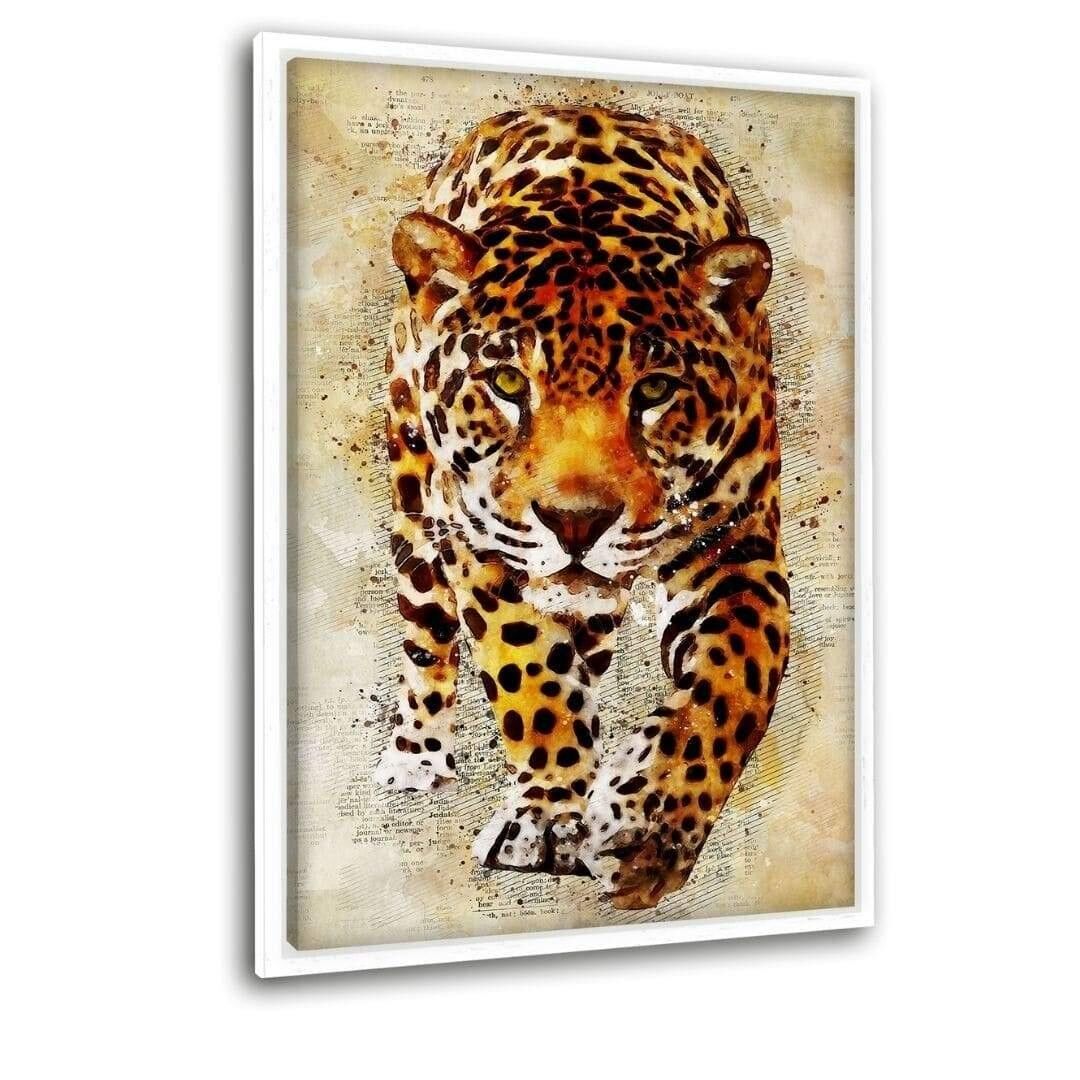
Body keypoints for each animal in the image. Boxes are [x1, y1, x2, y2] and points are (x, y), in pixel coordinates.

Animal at [375, 105, 790, 909]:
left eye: (655, 390)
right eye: (507, 383)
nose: (576, 523)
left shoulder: (738, 544)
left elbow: (737, 678)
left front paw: (648, 824)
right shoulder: (484, 544)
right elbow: (528, 672)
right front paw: (545, 817)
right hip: (415, 503)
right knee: (426, 633)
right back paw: (416, 754)